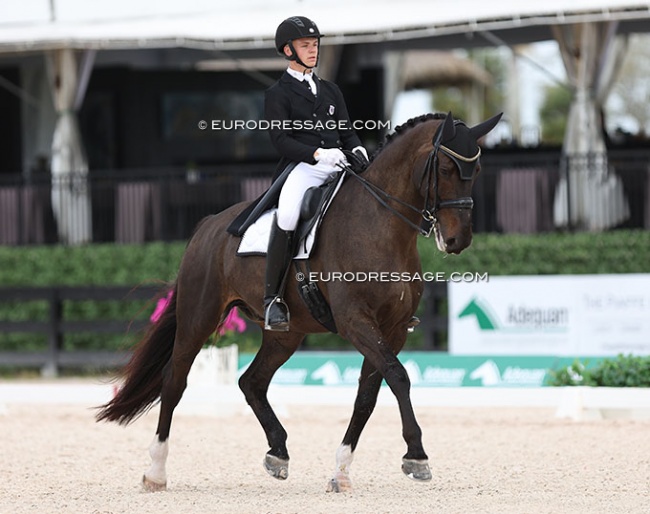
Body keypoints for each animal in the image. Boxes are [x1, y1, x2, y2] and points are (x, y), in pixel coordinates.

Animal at [96, 113, 502, 492]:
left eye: (477, 170)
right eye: (446, 168)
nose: (458, 240)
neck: (382, 226)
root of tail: (209, 224)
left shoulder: (394, 328)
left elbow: (368, 394)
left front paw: (341, 471)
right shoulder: (356, 321)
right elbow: (399, 377)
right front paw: (416, 456)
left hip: (285, 334)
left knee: (251, 381)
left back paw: (277, 453)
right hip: (200, 317)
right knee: (174, 380)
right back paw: (156, 471)